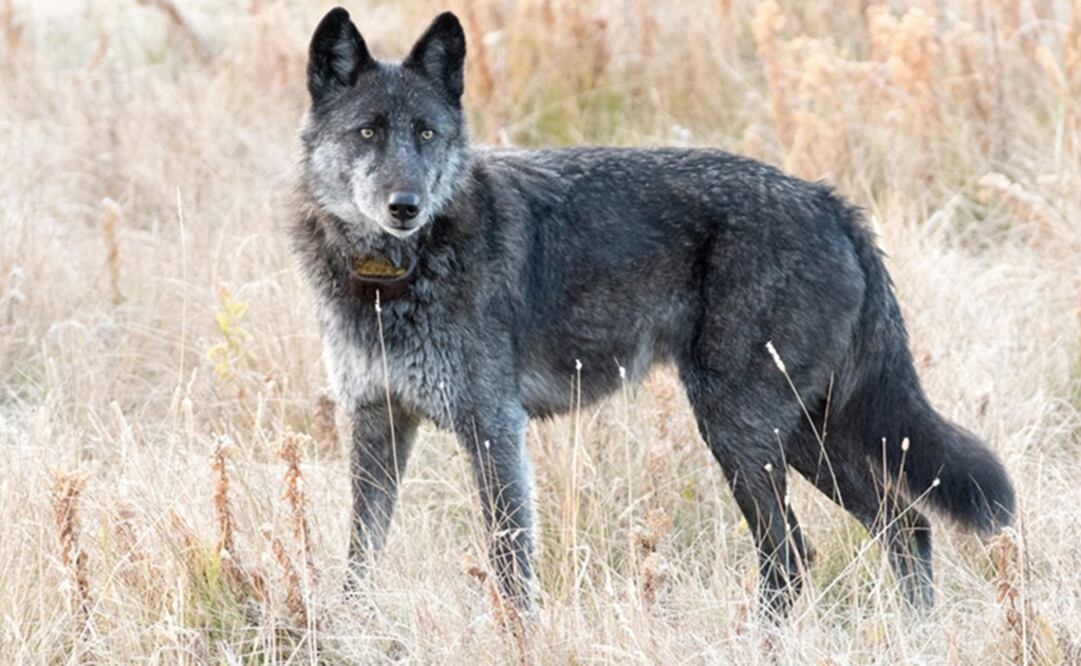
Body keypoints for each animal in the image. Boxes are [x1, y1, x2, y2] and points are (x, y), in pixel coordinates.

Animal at [290, 7, 1015, 616]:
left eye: (426, 134)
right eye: (367, 133)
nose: (405, 206)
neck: (390, 279)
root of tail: (829, 201)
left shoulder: (493, 428)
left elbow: (509, 562)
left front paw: (517, 637)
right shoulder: (377, 423)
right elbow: (360, 554)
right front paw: (347, 627)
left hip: (744, 433)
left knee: (792, 555)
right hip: (808, 435)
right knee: (905, 525)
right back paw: (915, 634)